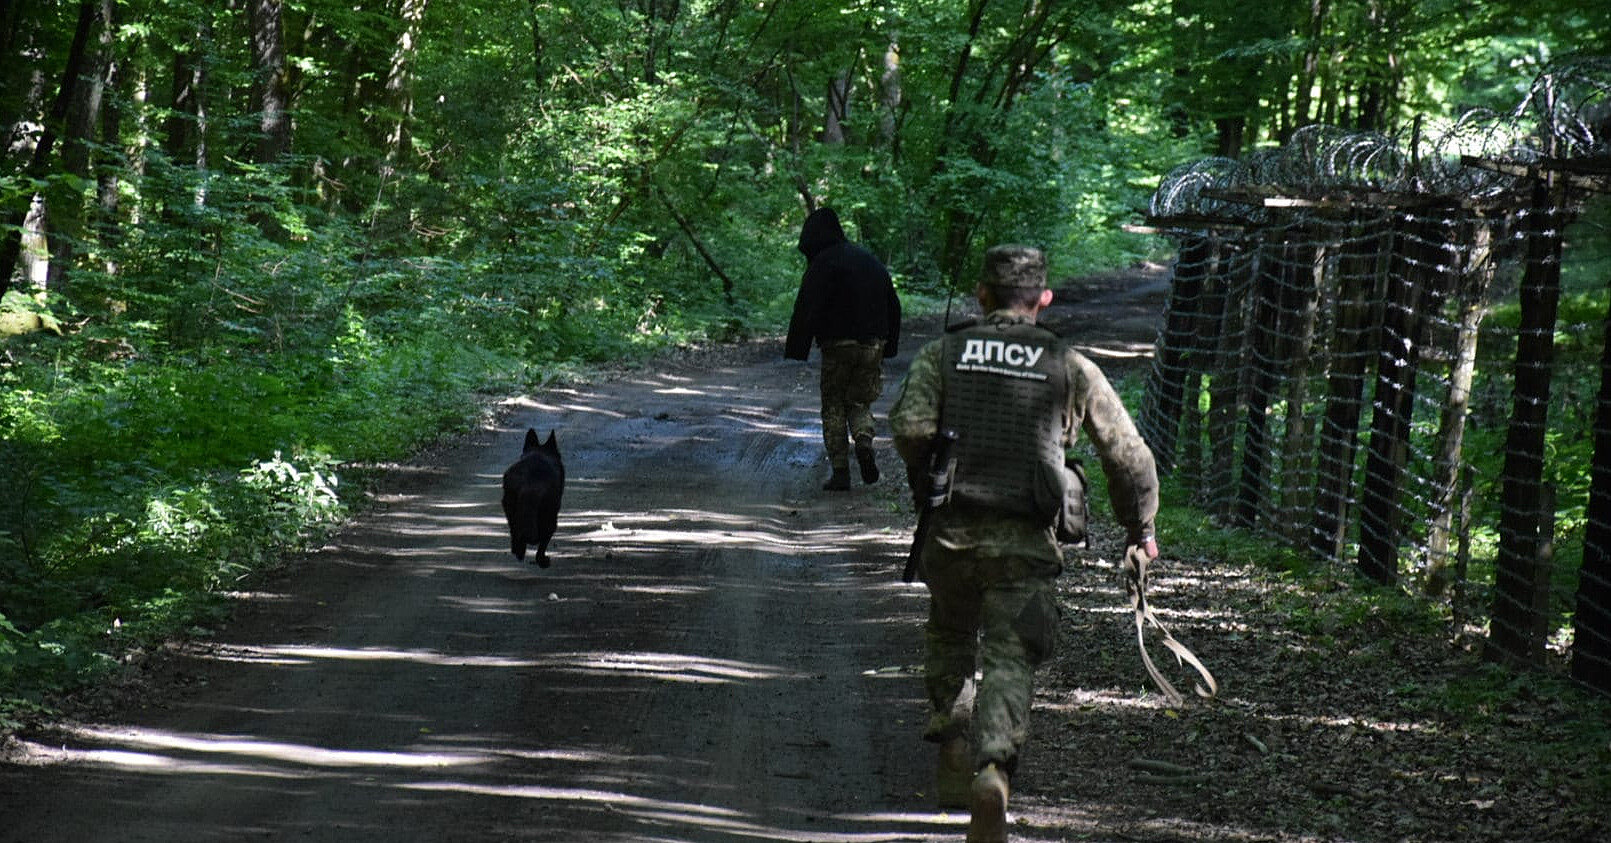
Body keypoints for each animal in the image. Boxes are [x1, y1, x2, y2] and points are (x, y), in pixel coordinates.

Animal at [502, 428, 567, 567]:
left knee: (514, 530)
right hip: (550, 516)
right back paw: (542, 560)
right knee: (543, 540)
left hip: (509, 506)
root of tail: (529, 484)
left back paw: (517, 551)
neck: (539, 453)